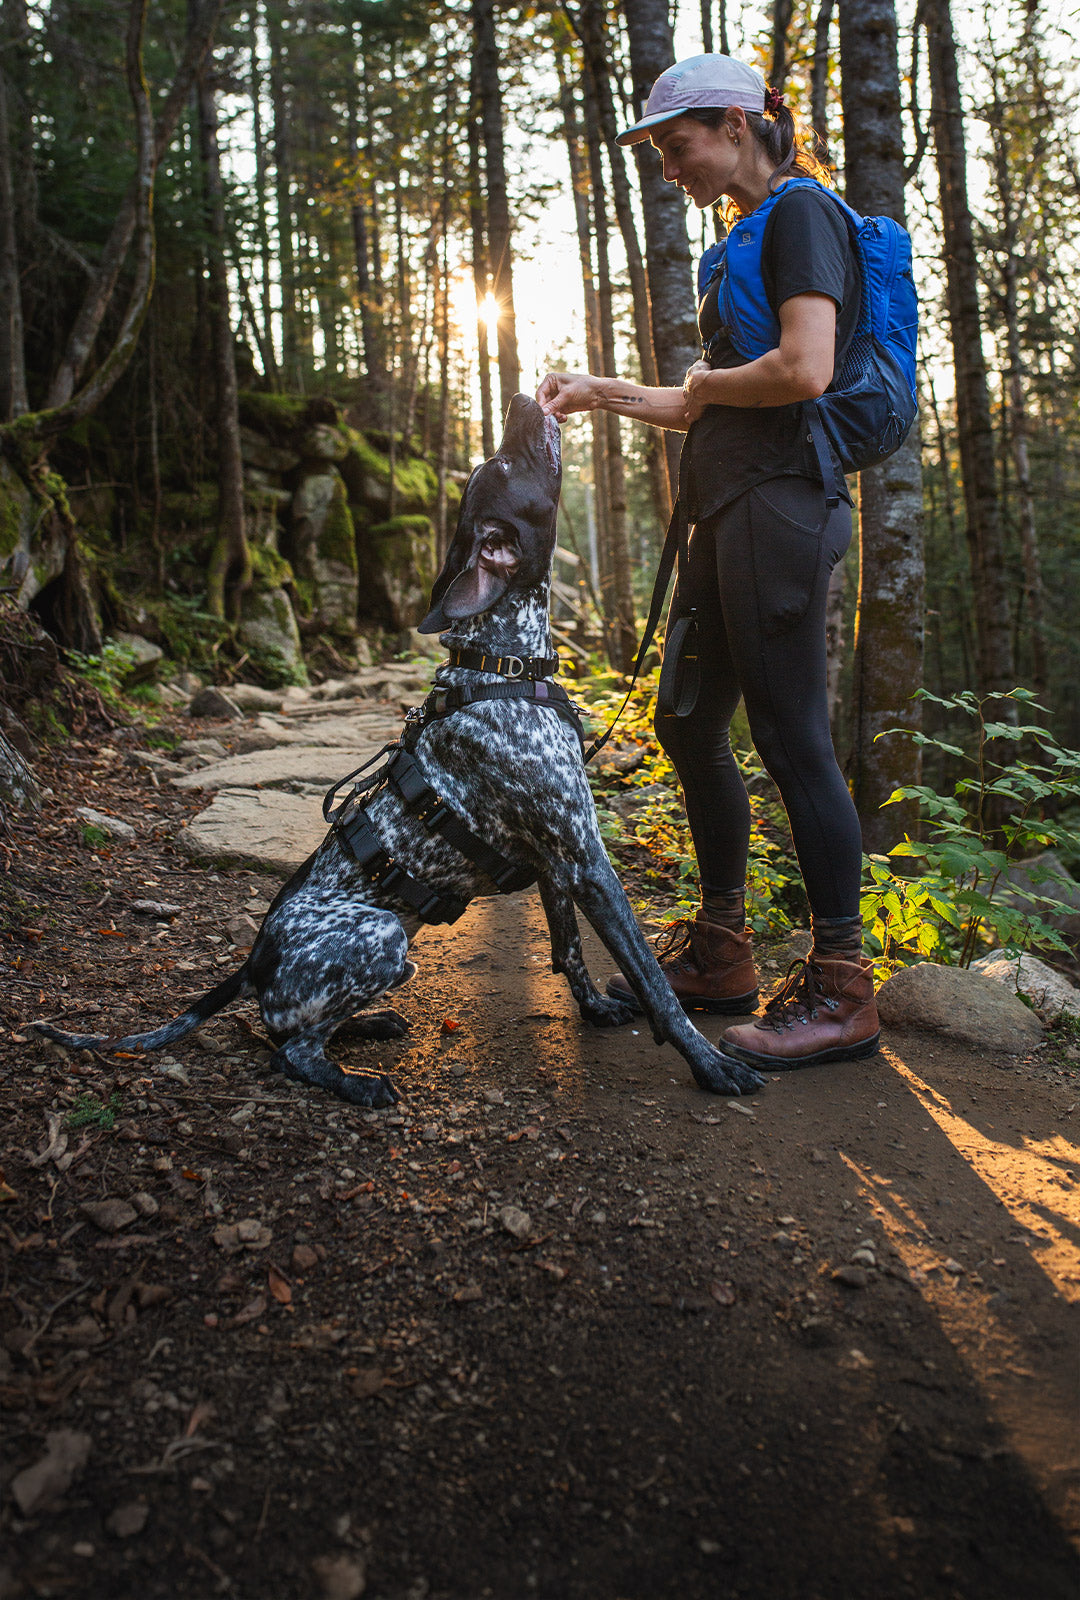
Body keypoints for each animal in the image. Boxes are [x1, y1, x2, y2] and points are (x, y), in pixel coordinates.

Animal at [31, 396, 761, 1113]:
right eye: (503, 463)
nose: (522, 397)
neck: (500, 663)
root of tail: (253, 964)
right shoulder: (584, 859)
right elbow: (651, 981)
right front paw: (711, 1063)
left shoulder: (557, 862)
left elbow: (569, 948)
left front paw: (592, 1007)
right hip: (381, 935)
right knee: (291, 1051)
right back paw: (358, 1080)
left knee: (296, 1030)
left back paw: (371, 1024)